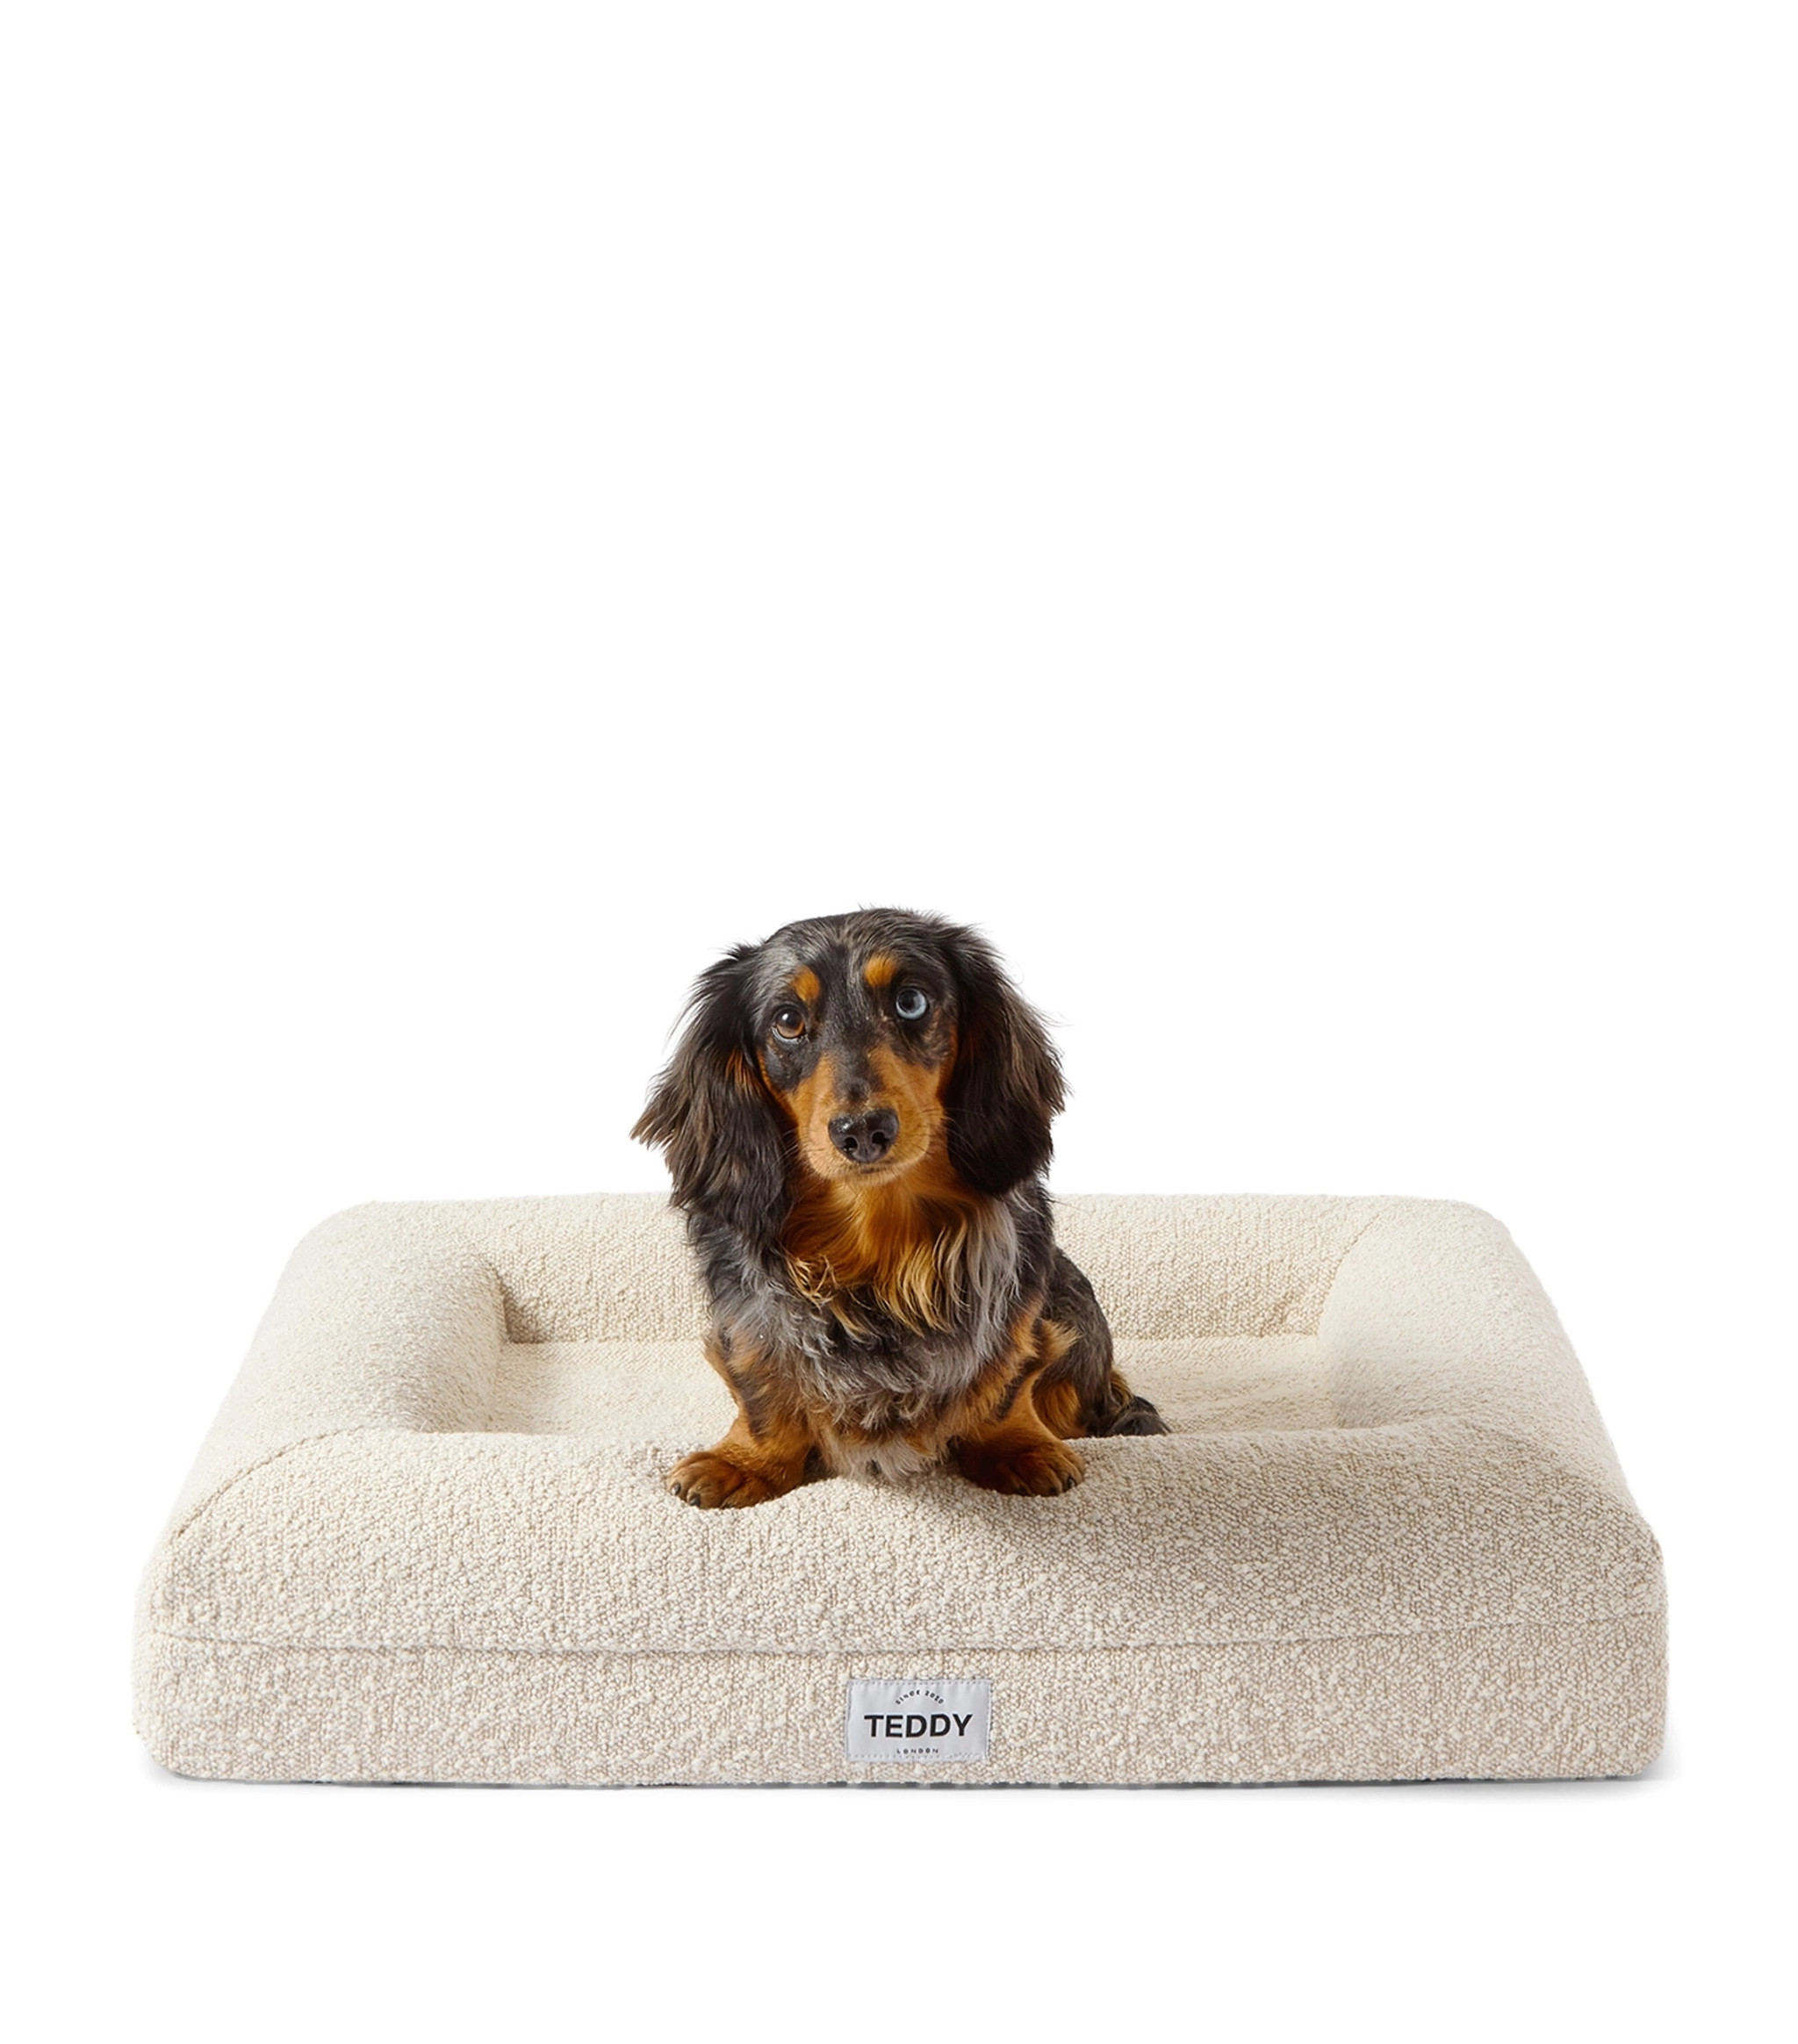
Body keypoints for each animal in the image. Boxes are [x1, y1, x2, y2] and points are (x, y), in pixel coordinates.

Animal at [633, 908, 1166, 1508]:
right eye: (787, 1020)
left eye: (911, 1001)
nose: (863, 1131)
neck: (876, 1232)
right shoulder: (747, 1320)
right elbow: (762, 1394)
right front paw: (744, 1461)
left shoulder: (1020, 1310)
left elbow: (1007, 1380)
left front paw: (1017, 1447)